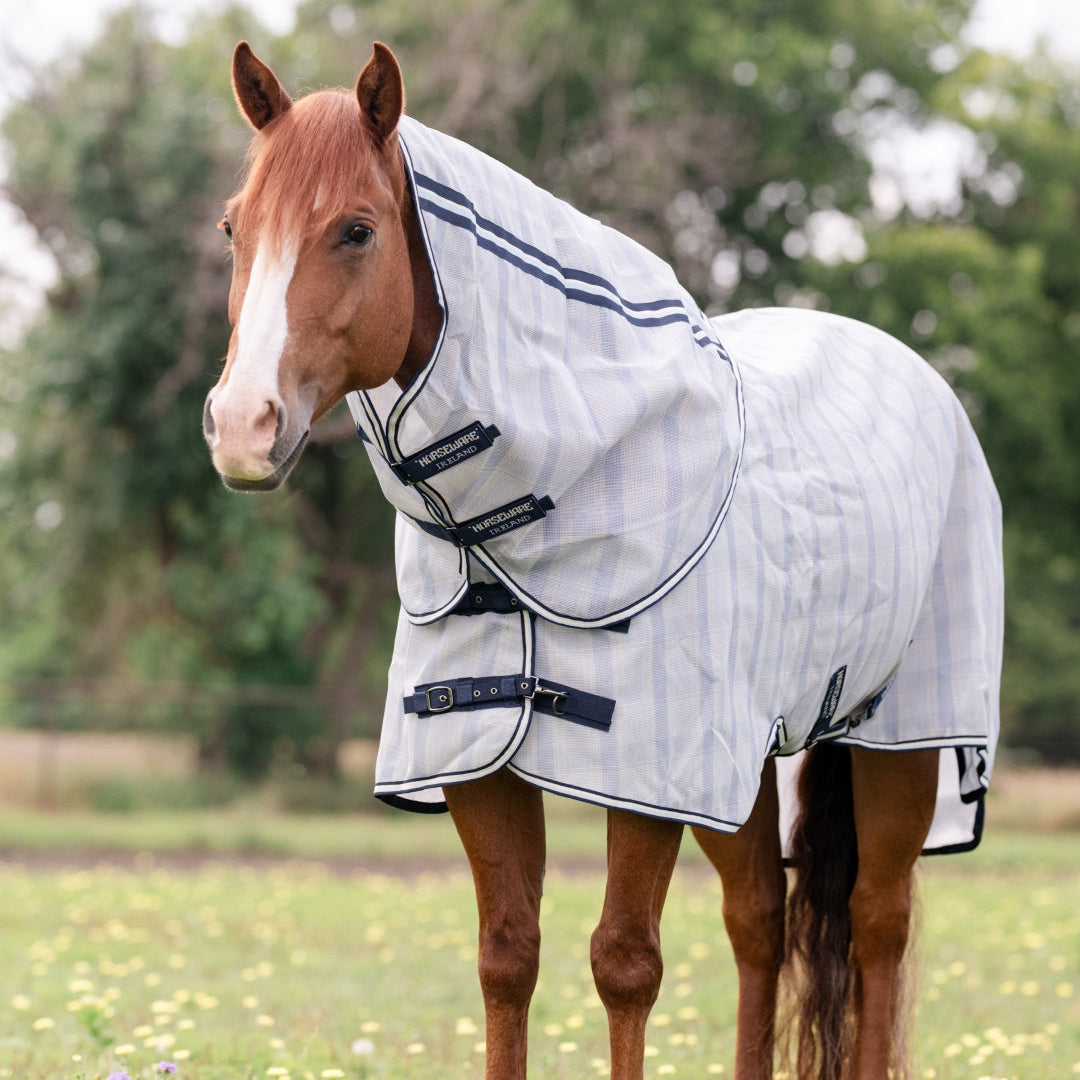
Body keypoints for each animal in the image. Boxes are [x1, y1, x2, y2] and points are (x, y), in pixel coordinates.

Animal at [203, 41, 1003, 1080]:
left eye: (355, 230)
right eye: (234, 227)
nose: (242, 428)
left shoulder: (648, 774)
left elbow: (625, 965)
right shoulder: (477, 761)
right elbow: (507, 957)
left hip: (896, 743)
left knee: (876, 923)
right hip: (748, 764)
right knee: (759, 920)